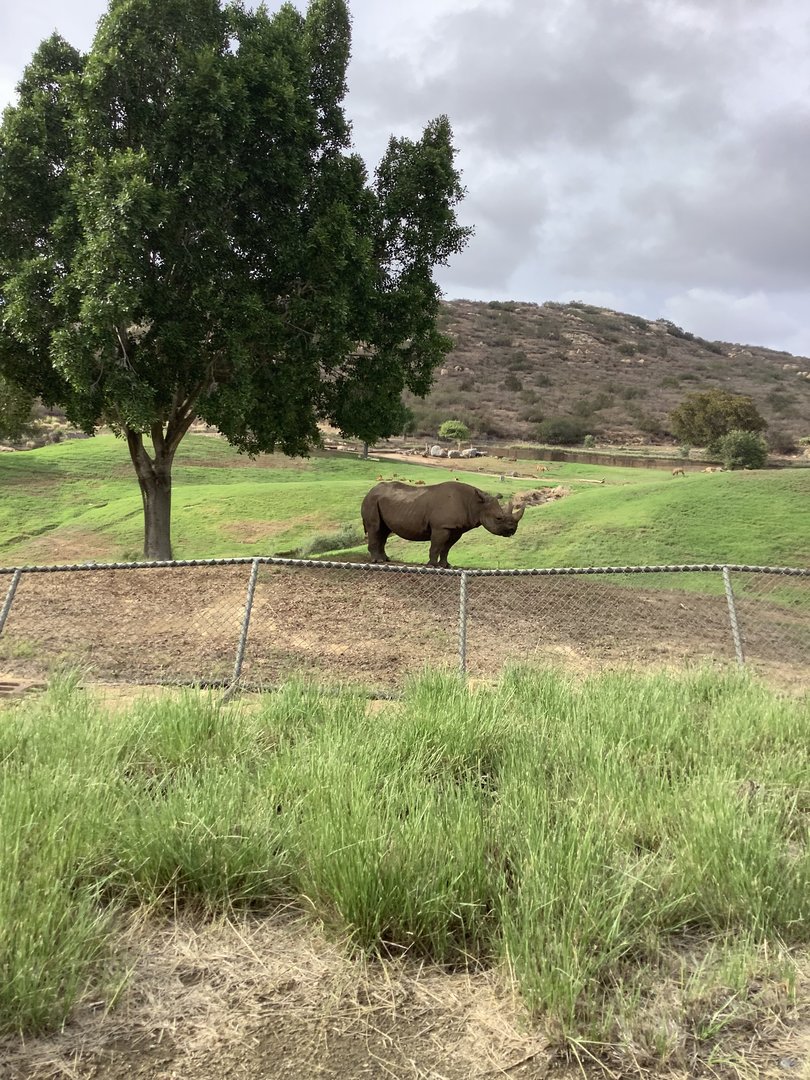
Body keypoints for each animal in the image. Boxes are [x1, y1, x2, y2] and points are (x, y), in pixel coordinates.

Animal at [361, 481, 525, 568]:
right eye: (498, 518)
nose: (512, 530)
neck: (476, 504)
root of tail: (370, 491)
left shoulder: (456, 529)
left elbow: (446, 548)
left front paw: (446, 565)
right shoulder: (441, 527)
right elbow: (436, 546)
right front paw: (432, 565)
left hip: (381, 501)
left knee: (384, 531)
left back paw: (385, 560)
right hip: (372, 501)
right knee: (375, 528)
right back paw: (377, 561)